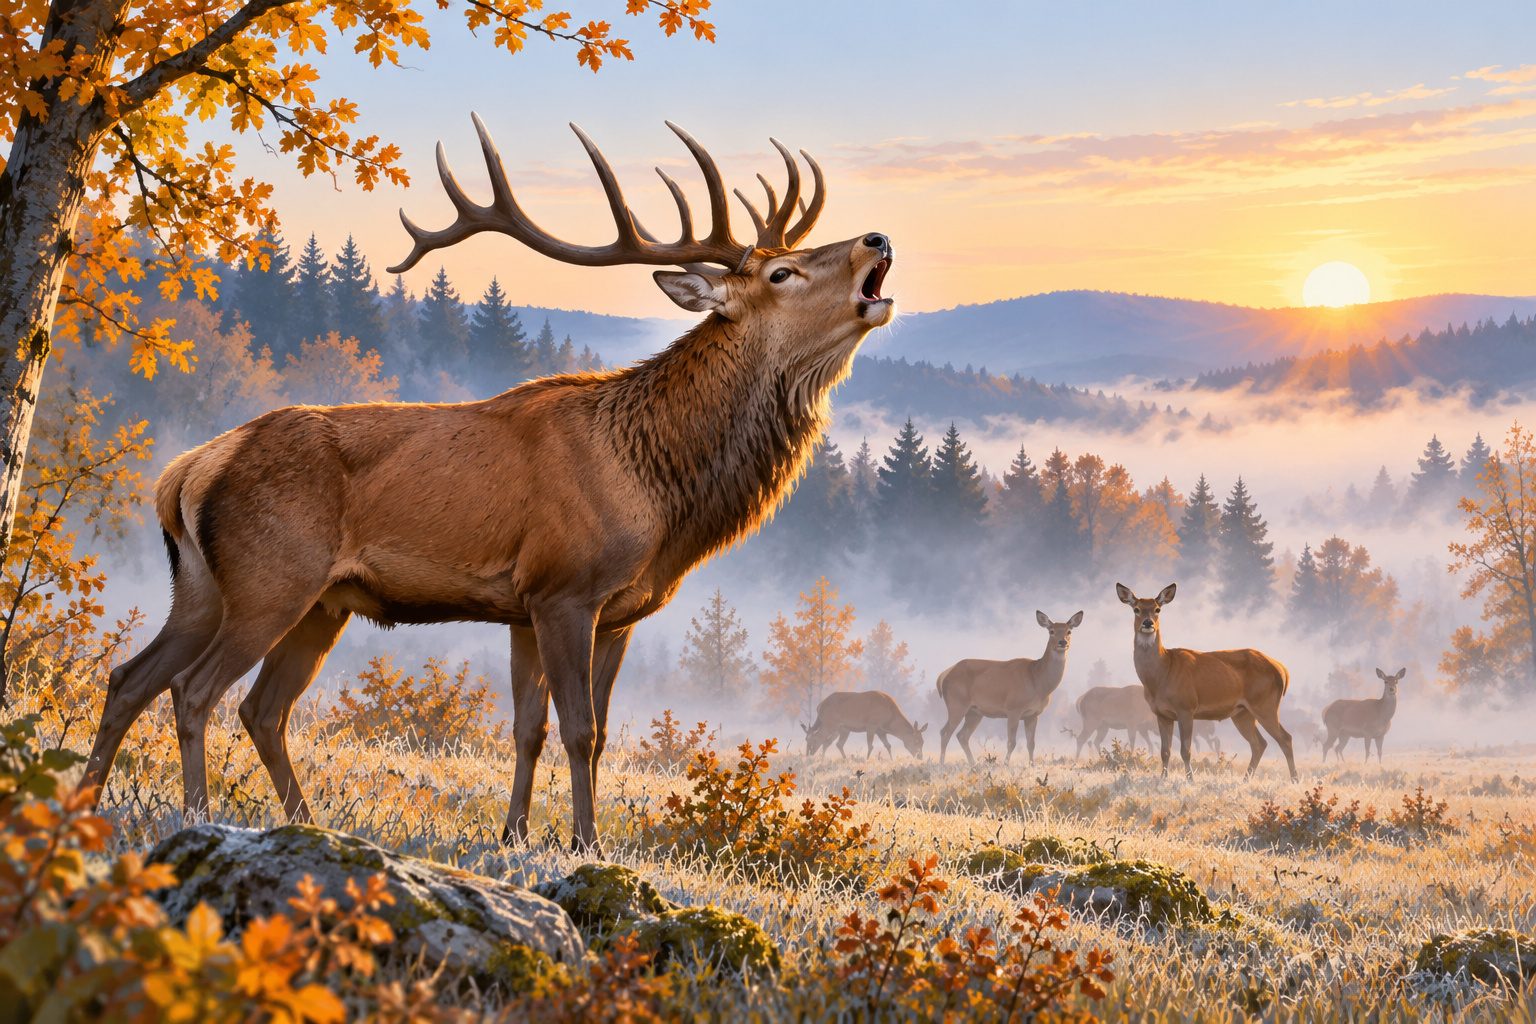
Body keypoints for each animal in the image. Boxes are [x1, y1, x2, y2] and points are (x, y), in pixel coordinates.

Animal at [80, 115, 897, 852]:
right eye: (782, 273)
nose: (877, 238)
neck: (657, 492)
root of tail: (188, 470)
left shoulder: (586, 611)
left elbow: (538, 728)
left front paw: (515, 835)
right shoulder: (564, 588)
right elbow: (579, 728)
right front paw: (586, 846)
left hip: (251, 592)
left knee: (172, 686)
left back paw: (138, 806)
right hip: (271, 577)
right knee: (198, 691)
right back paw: (198, 814)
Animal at [936, 611, 1083, 765]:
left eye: (1069, 631)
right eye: (1051, 631)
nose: (1063, 642)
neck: (1037, 681)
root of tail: (944, 675)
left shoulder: (1033, 714)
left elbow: (1031, 744)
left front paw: (1031, 765)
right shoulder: (1013, 709)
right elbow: (1011, 742)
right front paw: (1005, 764)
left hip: (974, 712)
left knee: (962, 735)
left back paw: (972, 764)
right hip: (956, 703)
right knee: (945, 732)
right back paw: (942, 764)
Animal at [1115, 583, 1297, 781]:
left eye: (1157, 609)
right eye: (1136, 609)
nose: (1148, 623)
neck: (1161, 674)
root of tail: (1282, 669)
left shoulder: (1186, 707)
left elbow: (1185, 750)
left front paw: (1190, 779)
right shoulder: (1161, 713)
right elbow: (1165, 751)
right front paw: (1163, 779)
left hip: (1265, 704)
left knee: (1285, 738)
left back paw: (1294, 780)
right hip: (1242, 712)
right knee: (1260, 743)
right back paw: (1245, 780)